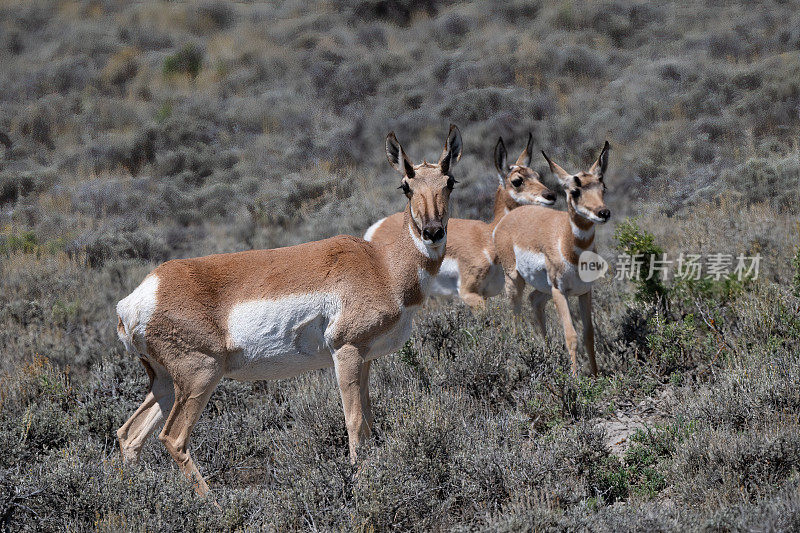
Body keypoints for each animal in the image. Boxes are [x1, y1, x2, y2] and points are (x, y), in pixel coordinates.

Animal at [112, 125, 462, 494]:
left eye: (449, 182)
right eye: (406, 186)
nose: (433, 232)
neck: (381, 265)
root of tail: (141, 295)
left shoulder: (366, 359)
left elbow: (368, 419)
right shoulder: (347, 351)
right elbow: (354, 422)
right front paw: (360, 486)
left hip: (166, 384)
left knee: (129, 435)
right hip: (201, 376)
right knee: (173, 438)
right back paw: (215, 503)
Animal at [366, 134, 552, 308]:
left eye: (537, 175)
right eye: (517, 181)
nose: (550, 195)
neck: (488, 237)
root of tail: (377, 226)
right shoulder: (469, 294)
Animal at [490, 141, 608, 374]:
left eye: (602, 187)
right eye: (575, 191)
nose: (603, 213)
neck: (567, 244)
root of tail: (509, 217)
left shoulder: (584, 292)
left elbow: (588, 335)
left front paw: (596, 375)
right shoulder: (559, 292)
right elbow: (571, 336)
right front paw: (576, 378)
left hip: (543, 289)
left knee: (534, 300)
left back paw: (546, 354)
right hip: (515, 281)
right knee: (516, 315)